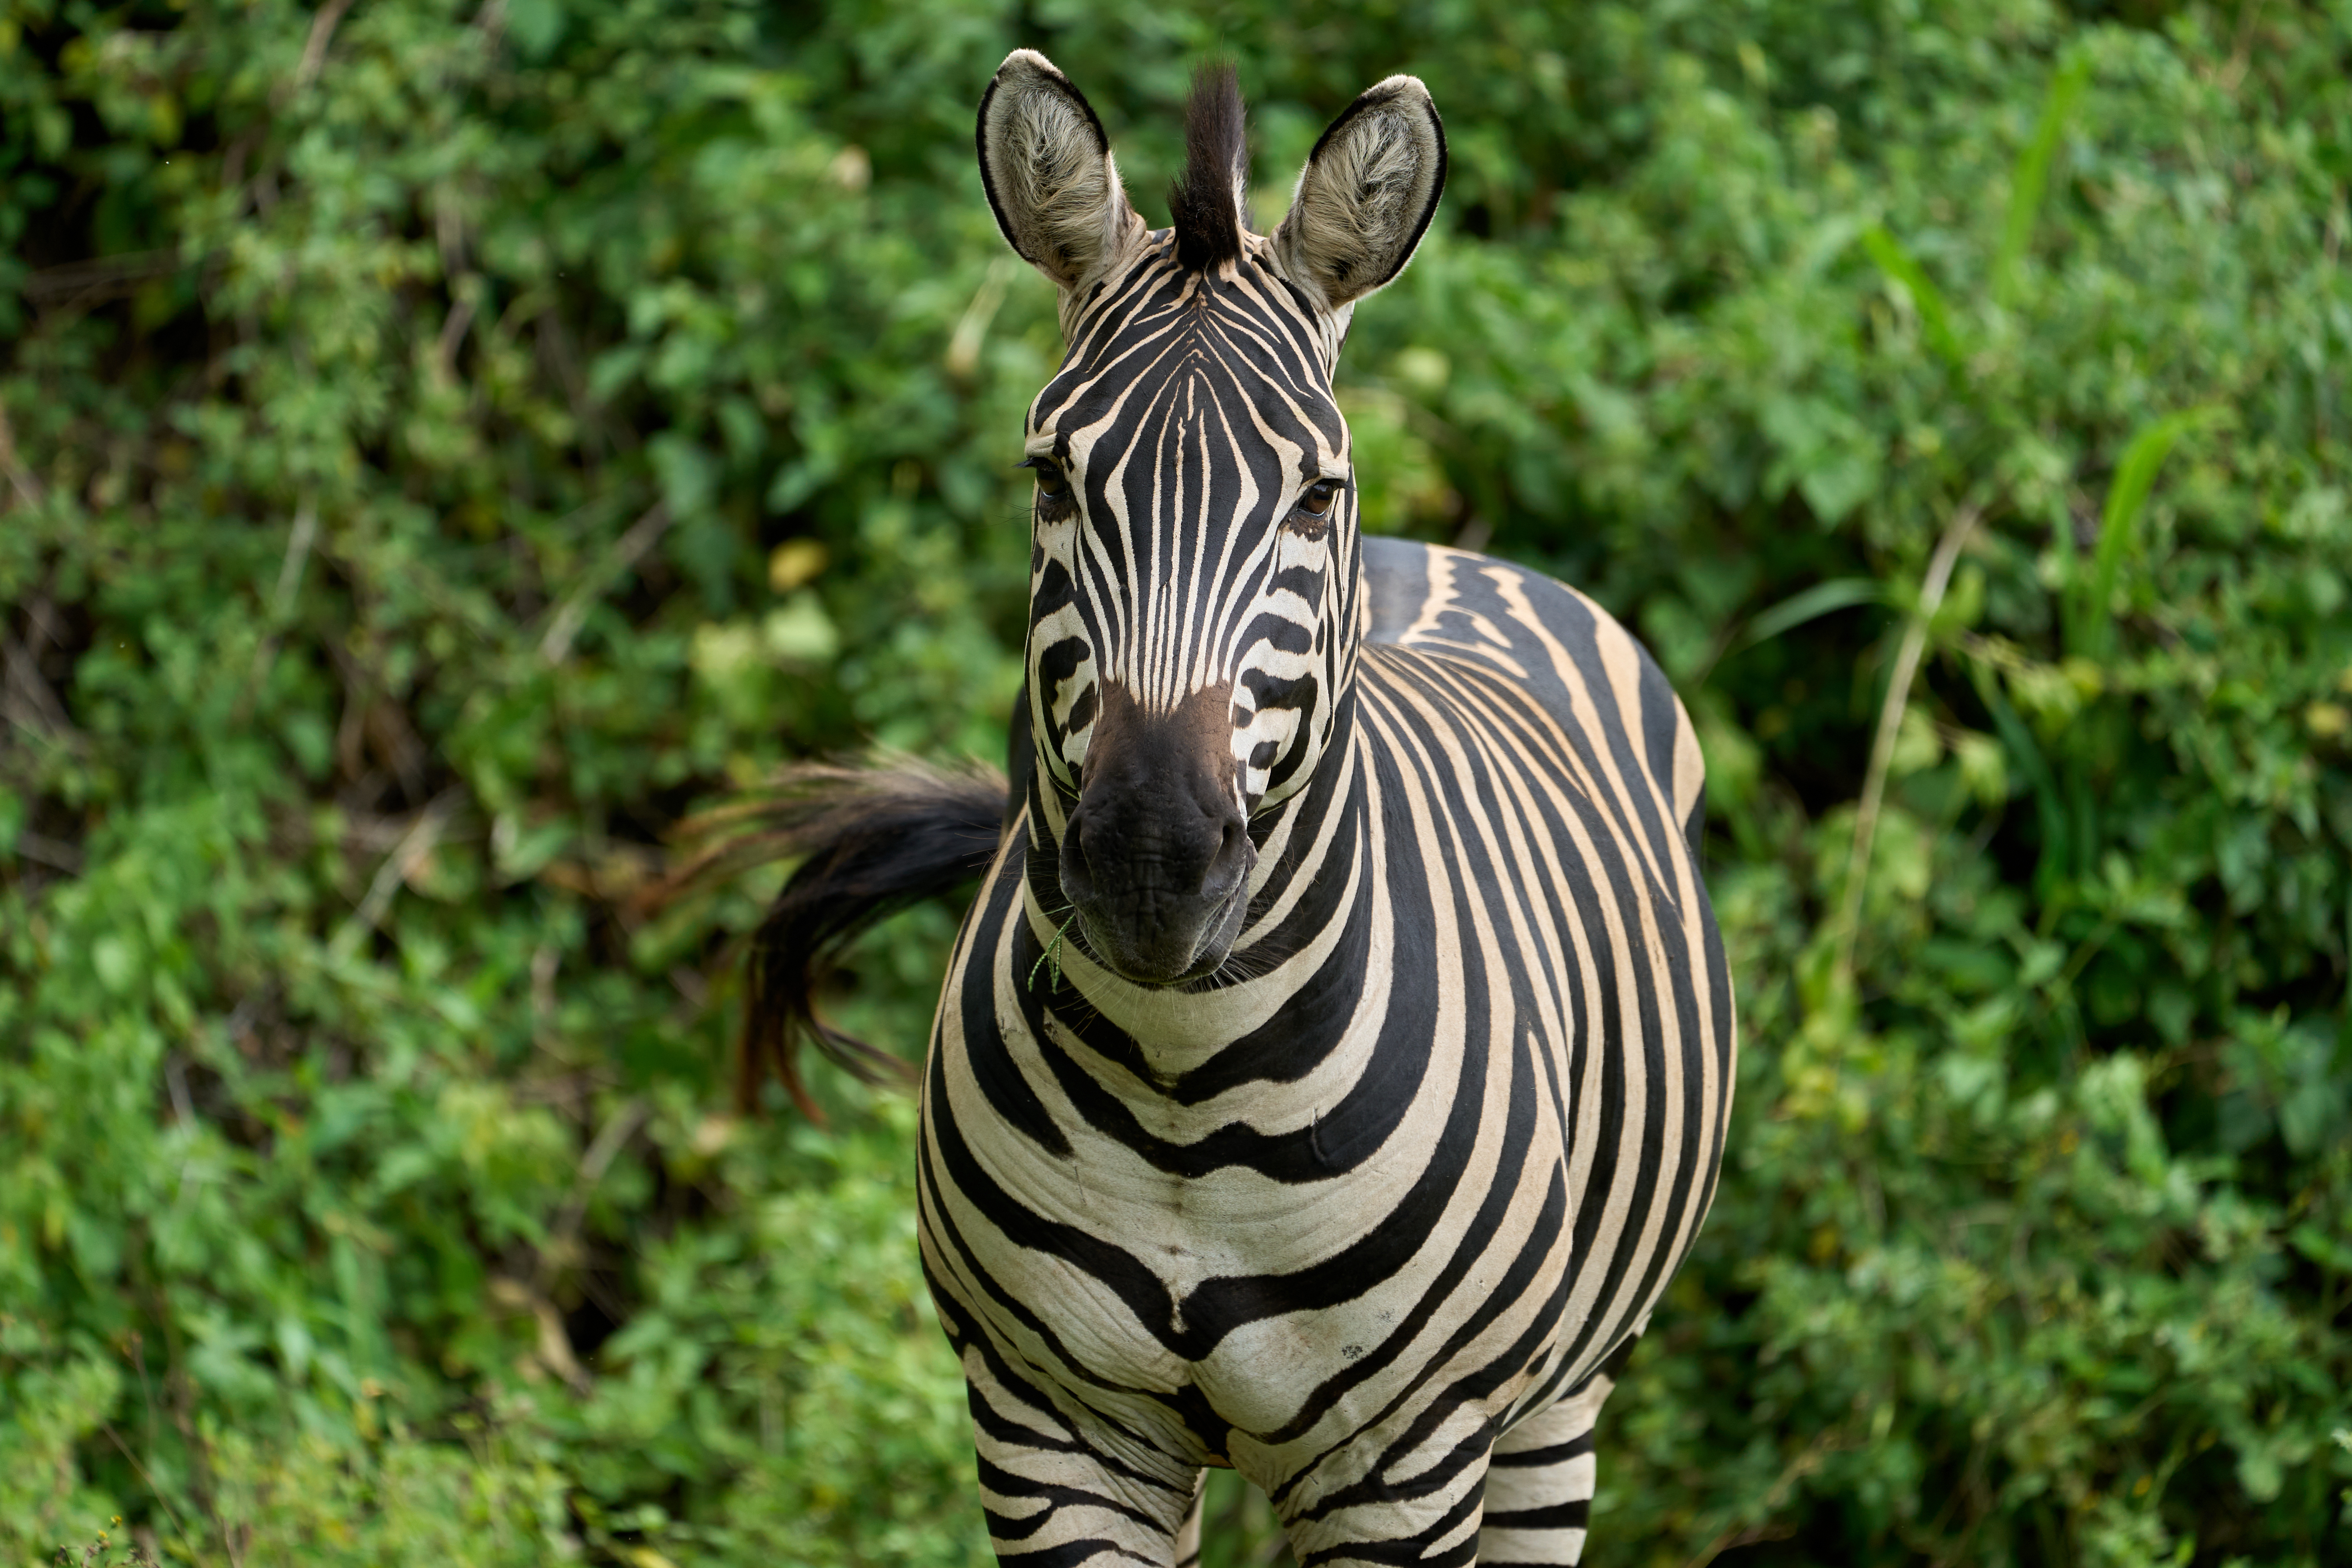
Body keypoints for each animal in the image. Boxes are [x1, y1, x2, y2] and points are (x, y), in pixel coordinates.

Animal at [743, 52, 1740, 1568]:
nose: (1150, 862)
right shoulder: (1050, 1431)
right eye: (1050, 479)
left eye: (1313, 493)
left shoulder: (1406, 1465)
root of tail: (1443, 555)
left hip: (1554, 1404)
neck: (1186, 1086)